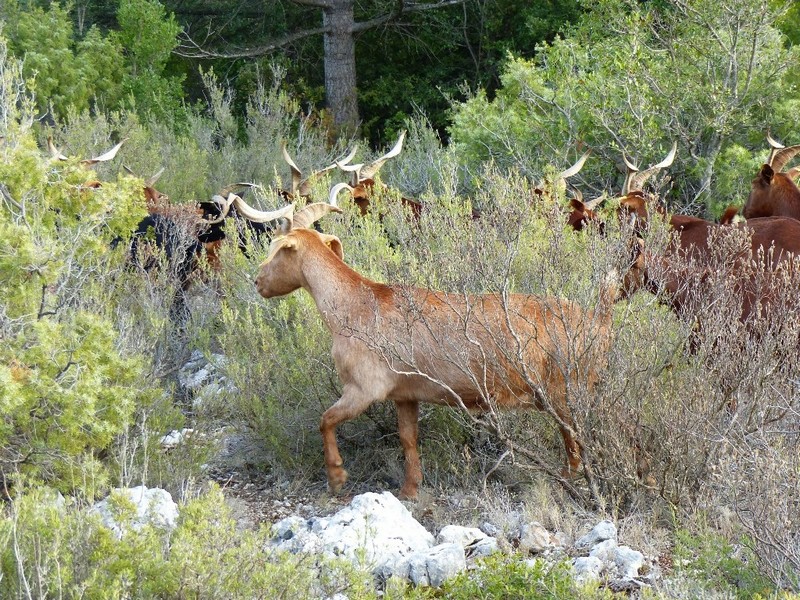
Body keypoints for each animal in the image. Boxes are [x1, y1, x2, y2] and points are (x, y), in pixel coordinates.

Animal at [255, 209, 620, 500]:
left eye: (277, 249)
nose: (257, 281)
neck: (355, 305)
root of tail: (598, 321)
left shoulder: (364, 388)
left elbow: (326, 420)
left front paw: (336, 477)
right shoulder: (404, 394)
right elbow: (408, 439)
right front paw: (410, 489)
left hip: (563, 390)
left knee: (575, 437)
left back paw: (566, 481)